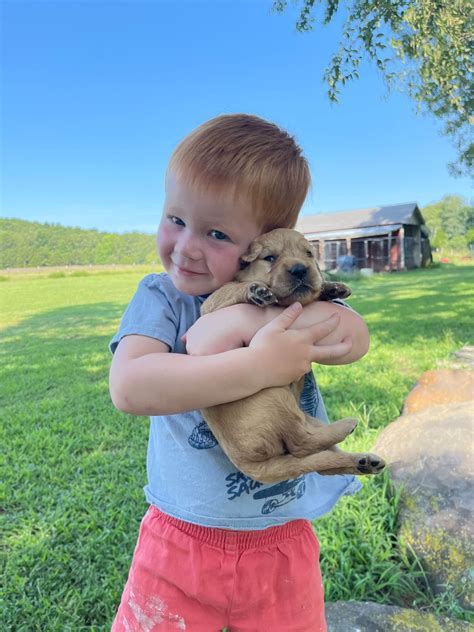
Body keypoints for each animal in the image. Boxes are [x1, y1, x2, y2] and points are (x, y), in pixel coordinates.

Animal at [200, 227, 386, 484]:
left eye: (308, 254)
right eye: (270, 258)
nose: (299, 269)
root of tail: (254, 467)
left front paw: (331, 287)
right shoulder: (209, 306)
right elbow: (231, 288)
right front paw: (256, 290)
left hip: (306, 418)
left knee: (320, 461)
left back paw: (364, 461)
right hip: (271, 395)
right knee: (301, 444)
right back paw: (347, 426)